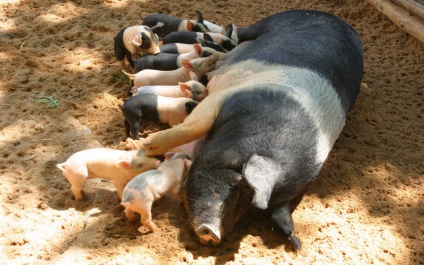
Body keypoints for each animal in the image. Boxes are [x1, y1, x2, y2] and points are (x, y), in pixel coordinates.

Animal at [141, 9, 362, 250]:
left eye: (252, 212)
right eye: (241, 182)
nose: (213, 234)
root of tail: (337, 20)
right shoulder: (228, 96)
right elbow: (193, 126)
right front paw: (145, 146)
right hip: (273, 21)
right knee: (237, 30)